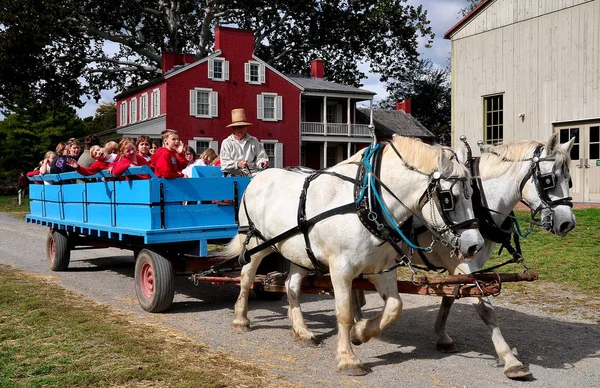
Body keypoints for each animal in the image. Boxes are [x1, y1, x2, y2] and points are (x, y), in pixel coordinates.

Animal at [223, 136, 486, 376]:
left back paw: (303, 332)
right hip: (257, 243)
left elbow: (394, 307)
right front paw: (348, 358)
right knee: (246, 278)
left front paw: (360, 333)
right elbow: (344, 312)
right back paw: (241, 320)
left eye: (472, 194)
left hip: (299, 254)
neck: (366, 202)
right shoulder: (341, 270)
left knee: (292, 287)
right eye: (448, 198)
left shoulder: (382, 269)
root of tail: (257, 177)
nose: (475, 245)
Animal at [404, 133, 576, 378]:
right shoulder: (461, 262)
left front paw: (442, 337)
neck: (478, 205)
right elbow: (485, 308)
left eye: (569, 180)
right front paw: (510, 360)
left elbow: (450, 297)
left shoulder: (463, 264)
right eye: (549, 179)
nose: (567, 223)